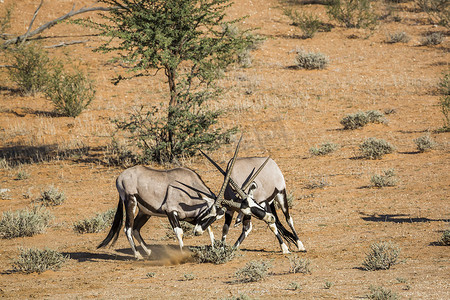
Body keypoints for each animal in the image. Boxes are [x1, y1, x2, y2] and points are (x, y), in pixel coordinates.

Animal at [98, 137, 274, 258]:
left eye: (216, 217)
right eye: (209, 213)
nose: (197, 233)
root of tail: (120, 177)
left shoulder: (192, 218)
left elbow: (209, 230)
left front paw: (214, 248)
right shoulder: (171, 212)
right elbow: (179, 232)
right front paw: (182, 254)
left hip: (145, 212)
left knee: (135, 228)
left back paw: (148, 252)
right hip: (130, 203)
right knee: (128, 228)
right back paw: (138, 255)